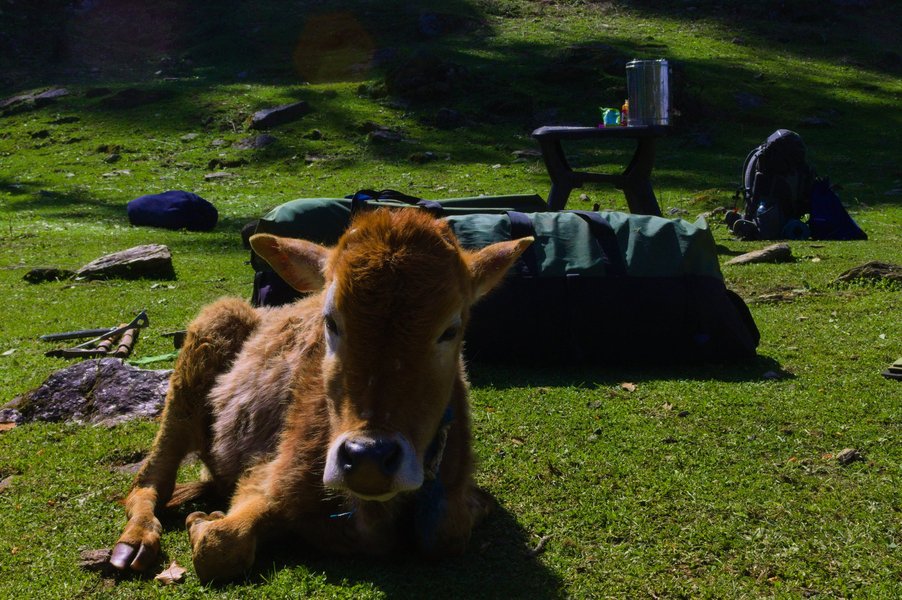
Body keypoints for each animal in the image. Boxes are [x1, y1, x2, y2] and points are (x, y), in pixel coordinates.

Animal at [109, 208, 533, 582]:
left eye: (451, 329)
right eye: (330, 321)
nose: (368, 458)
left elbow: (447, 533)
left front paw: (476, 504)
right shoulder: (270, 473)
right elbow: (221, 544)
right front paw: (203, 521)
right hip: (198, 355)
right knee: (150, 479)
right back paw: (133, 543)